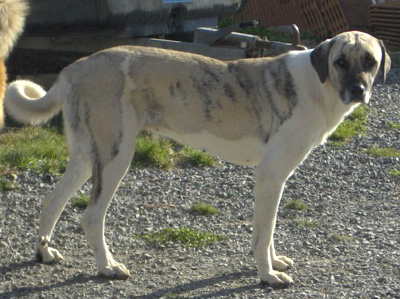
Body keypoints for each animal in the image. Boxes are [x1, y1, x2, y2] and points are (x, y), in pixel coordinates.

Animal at [3, 30, 390, 288]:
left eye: (370, 62)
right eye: (341, 61)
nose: (358, 90)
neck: (318, 84)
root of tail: (76, 68)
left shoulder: (273, 180)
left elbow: (267, 232)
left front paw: (273, 262)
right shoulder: (271, 175)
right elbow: (264, 234)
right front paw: (267, 274)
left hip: (87, 157)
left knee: (52, 201)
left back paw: (44, 253)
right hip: (116, 157)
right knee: (90, 216)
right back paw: (107, 267)